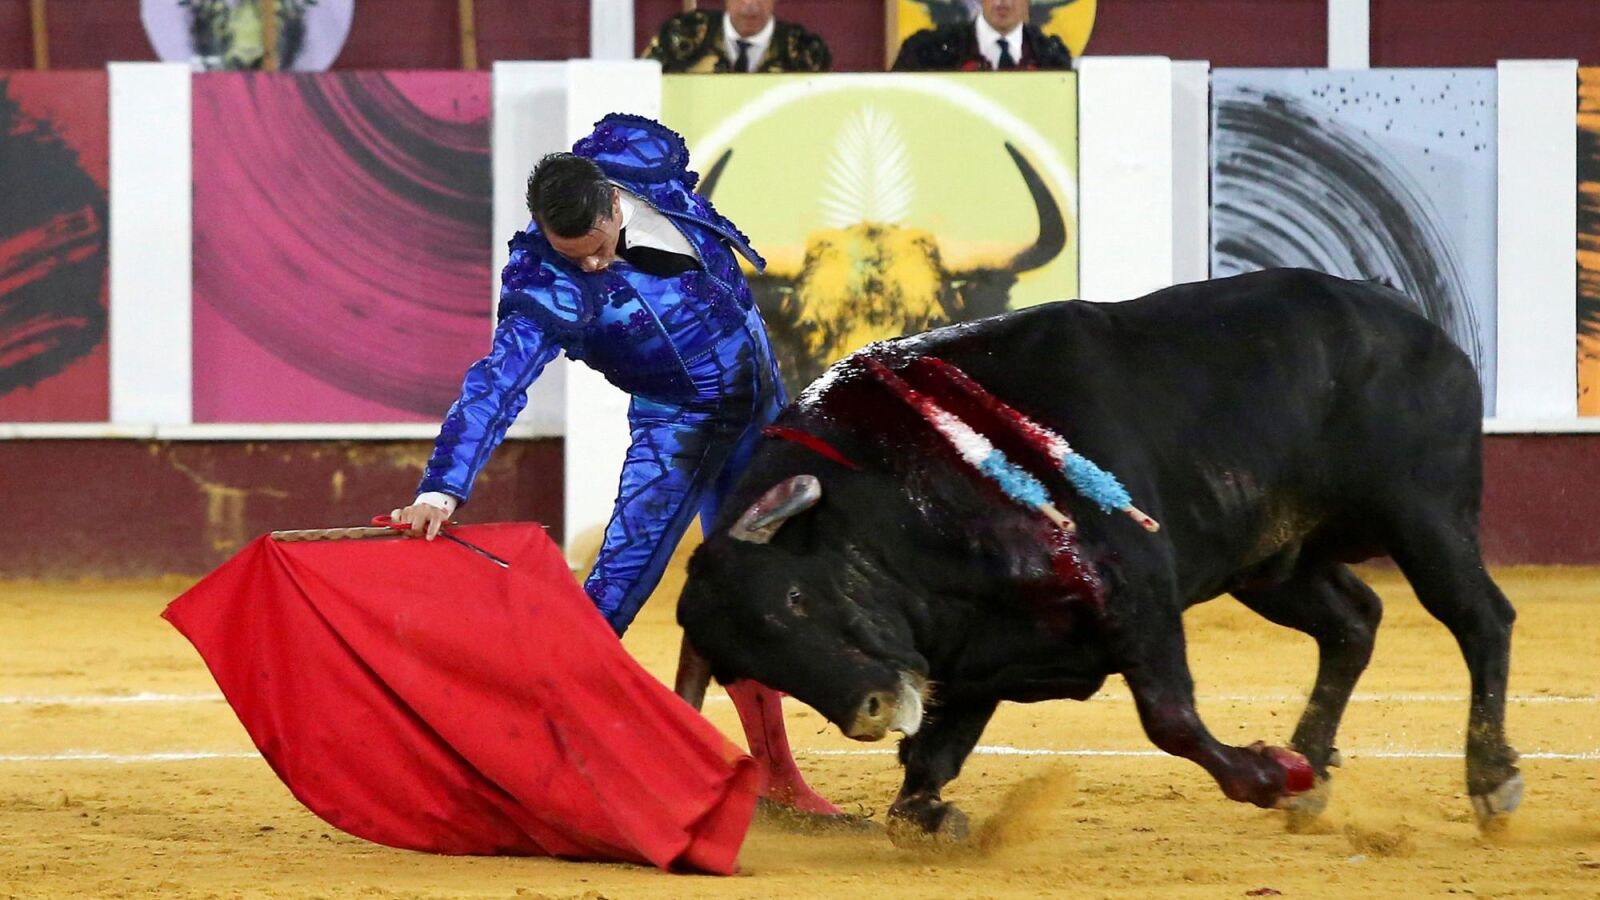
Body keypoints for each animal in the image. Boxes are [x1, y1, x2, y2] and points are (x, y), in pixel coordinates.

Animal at [675, 268, 1522, 844]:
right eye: (751, 665)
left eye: (792, 599)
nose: (868, 712)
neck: (902, 484)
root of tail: (1408, 318)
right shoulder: (977, 652)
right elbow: (926, 769)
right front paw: (936, 816)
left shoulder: (1137, 593)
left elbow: (1171, 719)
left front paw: (1264, 774)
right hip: (1271, 562)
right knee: (1354, 621)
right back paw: (1312, 769)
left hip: (1424, 518)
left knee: (1481, 617)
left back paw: (1489, 779)